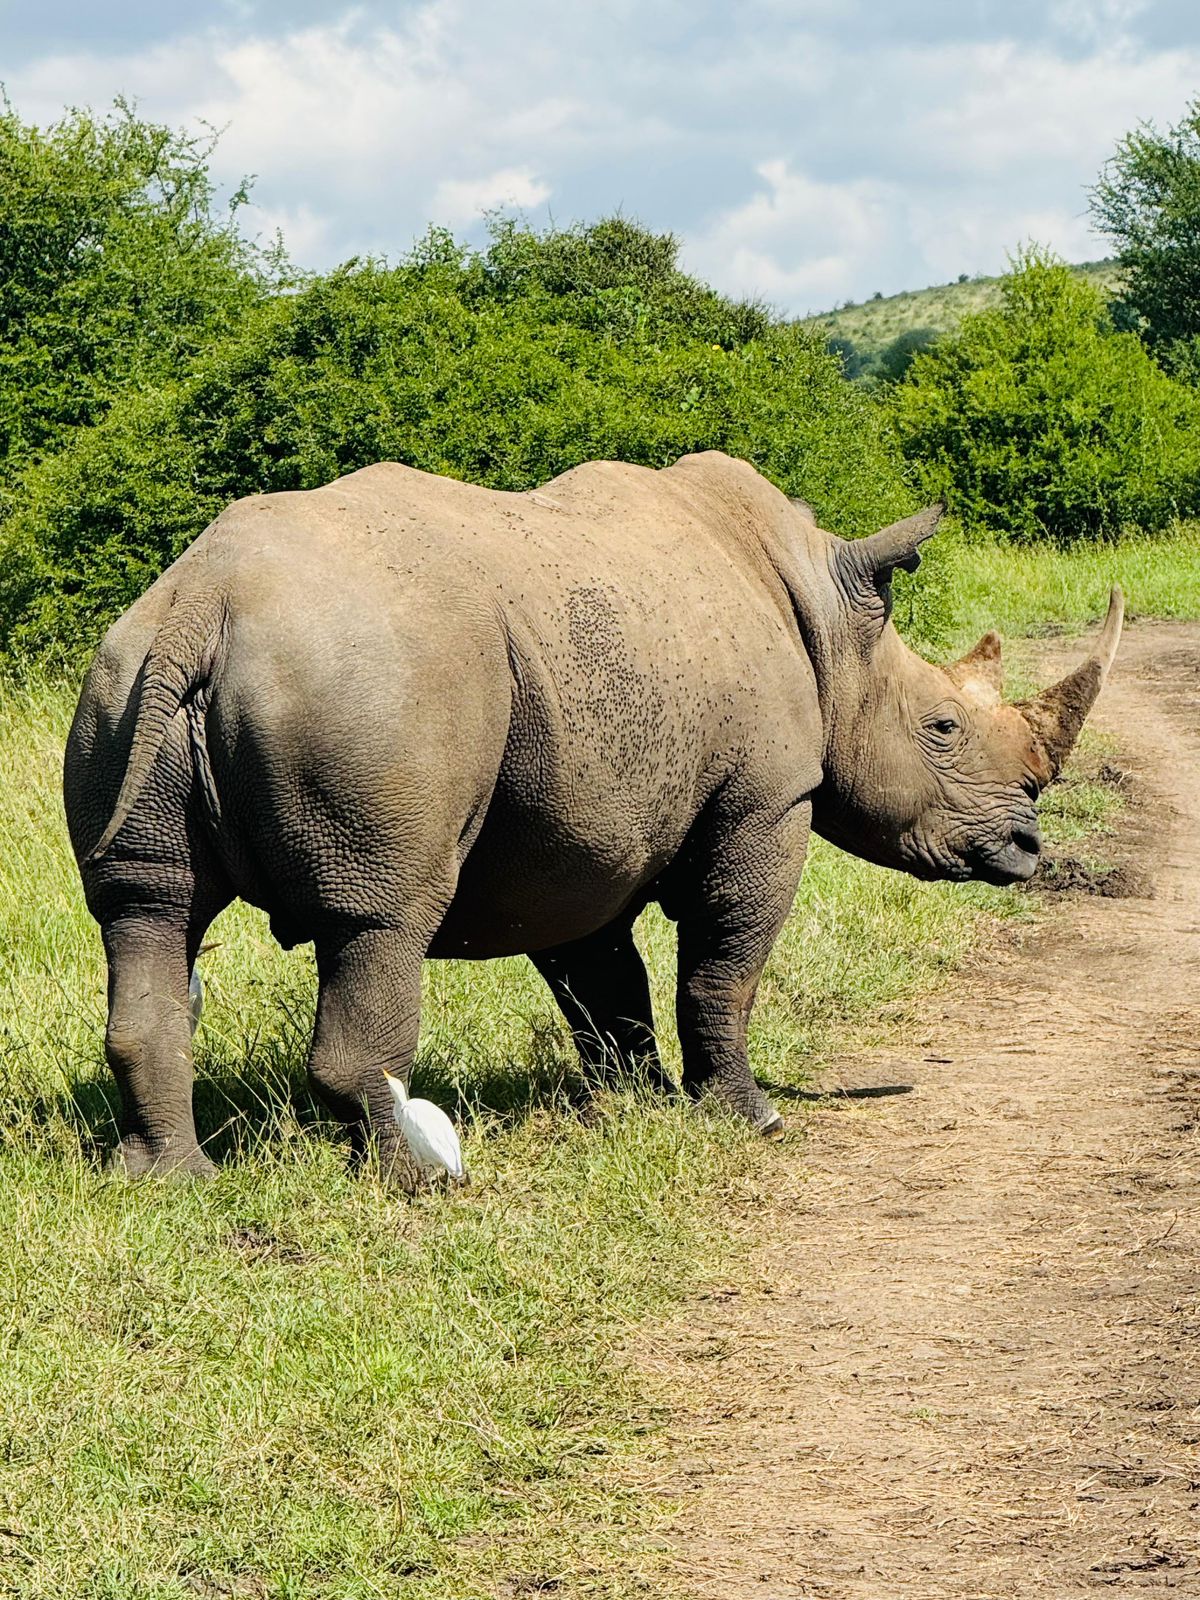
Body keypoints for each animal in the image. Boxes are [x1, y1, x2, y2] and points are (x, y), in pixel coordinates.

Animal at [63, 452, 1123, 1181]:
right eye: (942, 727)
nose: (1027, 846)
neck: (828, 621)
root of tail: (205, 602)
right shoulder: (766, 799)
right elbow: (722, 965)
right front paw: (746, 1117)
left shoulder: (576, 825)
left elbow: (605, 979)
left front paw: (636, 1105)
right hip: (376, 682)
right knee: (380, 916)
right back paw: (412, 1183)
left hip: (123, 677)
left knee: (146, 910)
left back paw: (170, 1181)